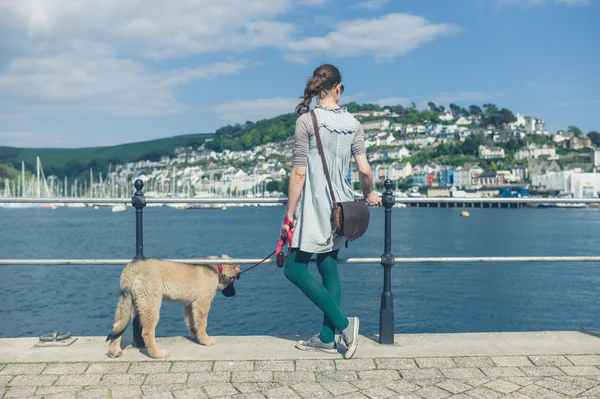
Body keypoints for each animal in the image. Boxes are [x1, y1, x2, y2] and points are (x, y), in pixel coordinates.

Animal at [106, 256, 240, 360]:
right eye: (233, 281)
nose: (234, 294)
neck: (217, 267)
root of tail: (132, 267)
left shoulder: (189, 304)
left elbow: (192, 323)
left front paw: (196, 337)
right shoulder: (202, 302)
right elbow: (202, 323)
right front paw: (205, 340)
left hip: (131, 302)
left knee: (118, 326)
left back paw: (114, 351)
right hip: (150, 302)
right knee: (147, 332)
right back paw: (157, 354)